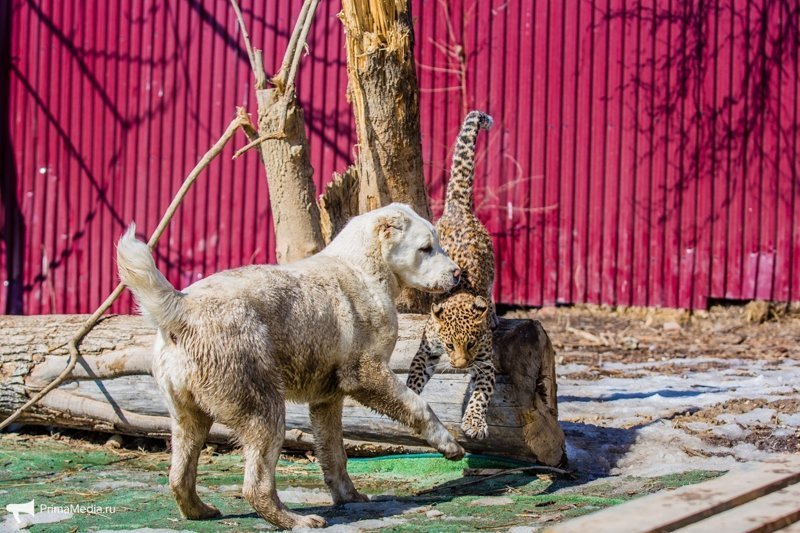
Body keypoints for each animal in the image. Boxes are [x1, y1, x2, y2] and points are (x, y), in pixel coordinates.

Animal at [113, 203, 462, 528]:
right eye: (425, 248)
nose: (458, 273)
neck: (366, 267)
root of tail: (181, 310)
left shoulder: (326, 397)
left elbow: (333, 451)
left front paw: (348, 495)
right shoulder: (365, 371)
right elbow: (416, 404)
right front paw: (449, 444)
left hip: (186, 410)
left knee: (180, 471)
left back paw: (201, 510)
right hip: (259, 398)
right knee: (257, 479)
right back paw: (296, 520)